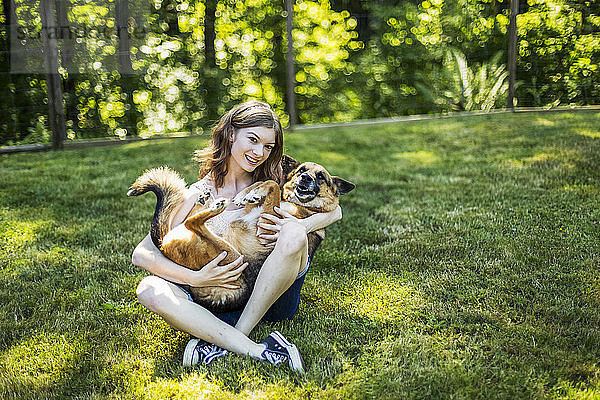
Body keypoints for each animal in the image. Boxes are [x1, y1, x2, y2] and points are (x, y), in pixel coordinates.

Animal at [126, 156, 352, 312]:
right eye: (301, 171)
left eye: (321, 177)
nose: (305, 178)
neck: (300, 205)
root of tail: (163, 245)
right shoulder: (253, 211)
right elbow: (265, 183)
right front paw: (247, 194)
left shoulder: (267, 223)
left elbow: (272, 185)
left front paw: (251, 194)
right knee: (192, 217)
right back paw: (205, 197)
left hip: (229, 253)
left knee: (193, 222)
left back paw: (212, 204)